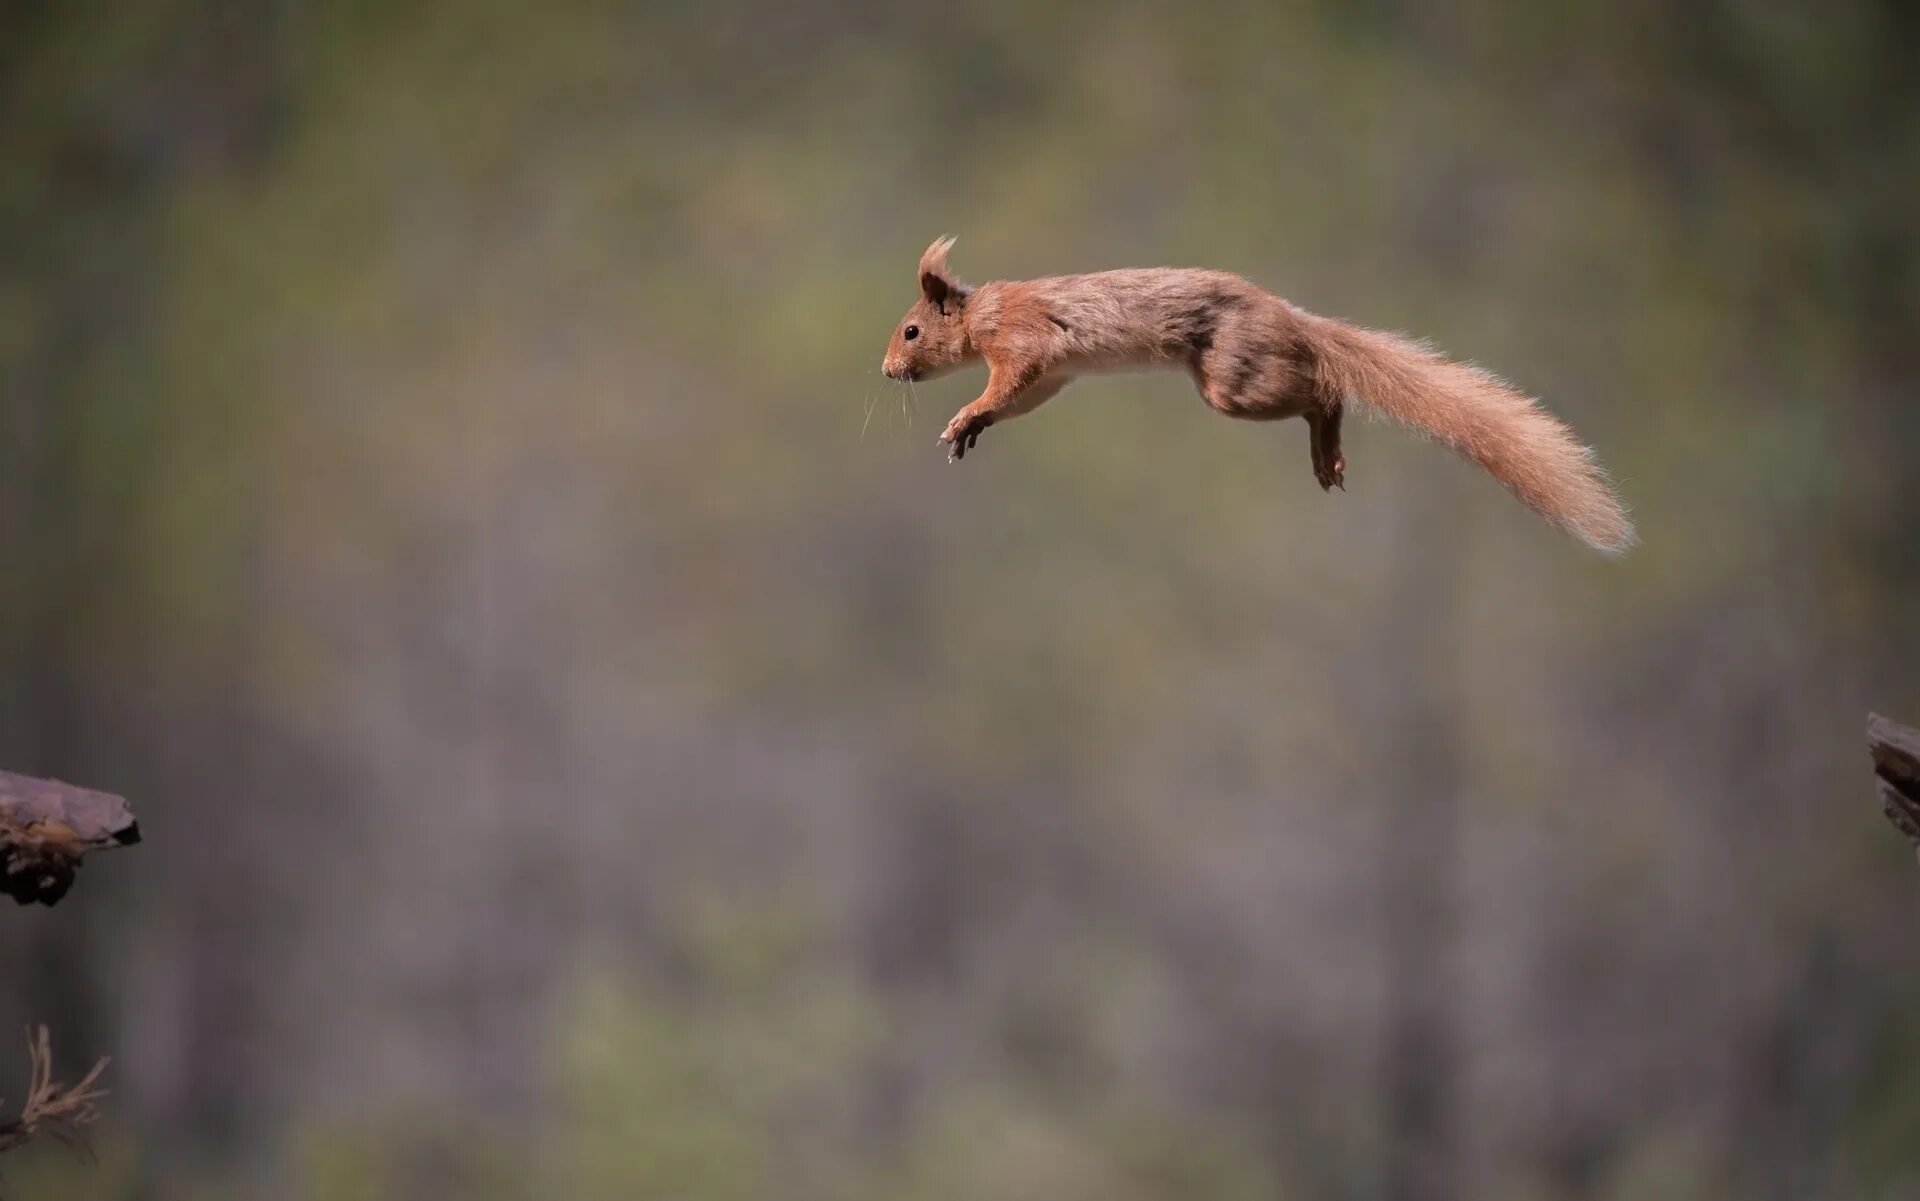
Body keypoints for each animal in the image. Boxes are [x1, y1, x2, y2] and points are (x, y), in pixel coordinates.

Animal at [879, 235, 1628, 552]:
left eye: (911, 330)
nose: (886, 370)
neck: (981, 314)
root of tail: (1291, 318)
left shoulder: (1024, 341)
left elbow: (1009, 381)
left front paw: (964, 415)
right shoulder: (1054, 376)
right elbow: (1022, 399)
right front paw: (974, 428)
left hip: (1235, 381)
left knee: (1324, 389)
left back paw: (1327, 447)